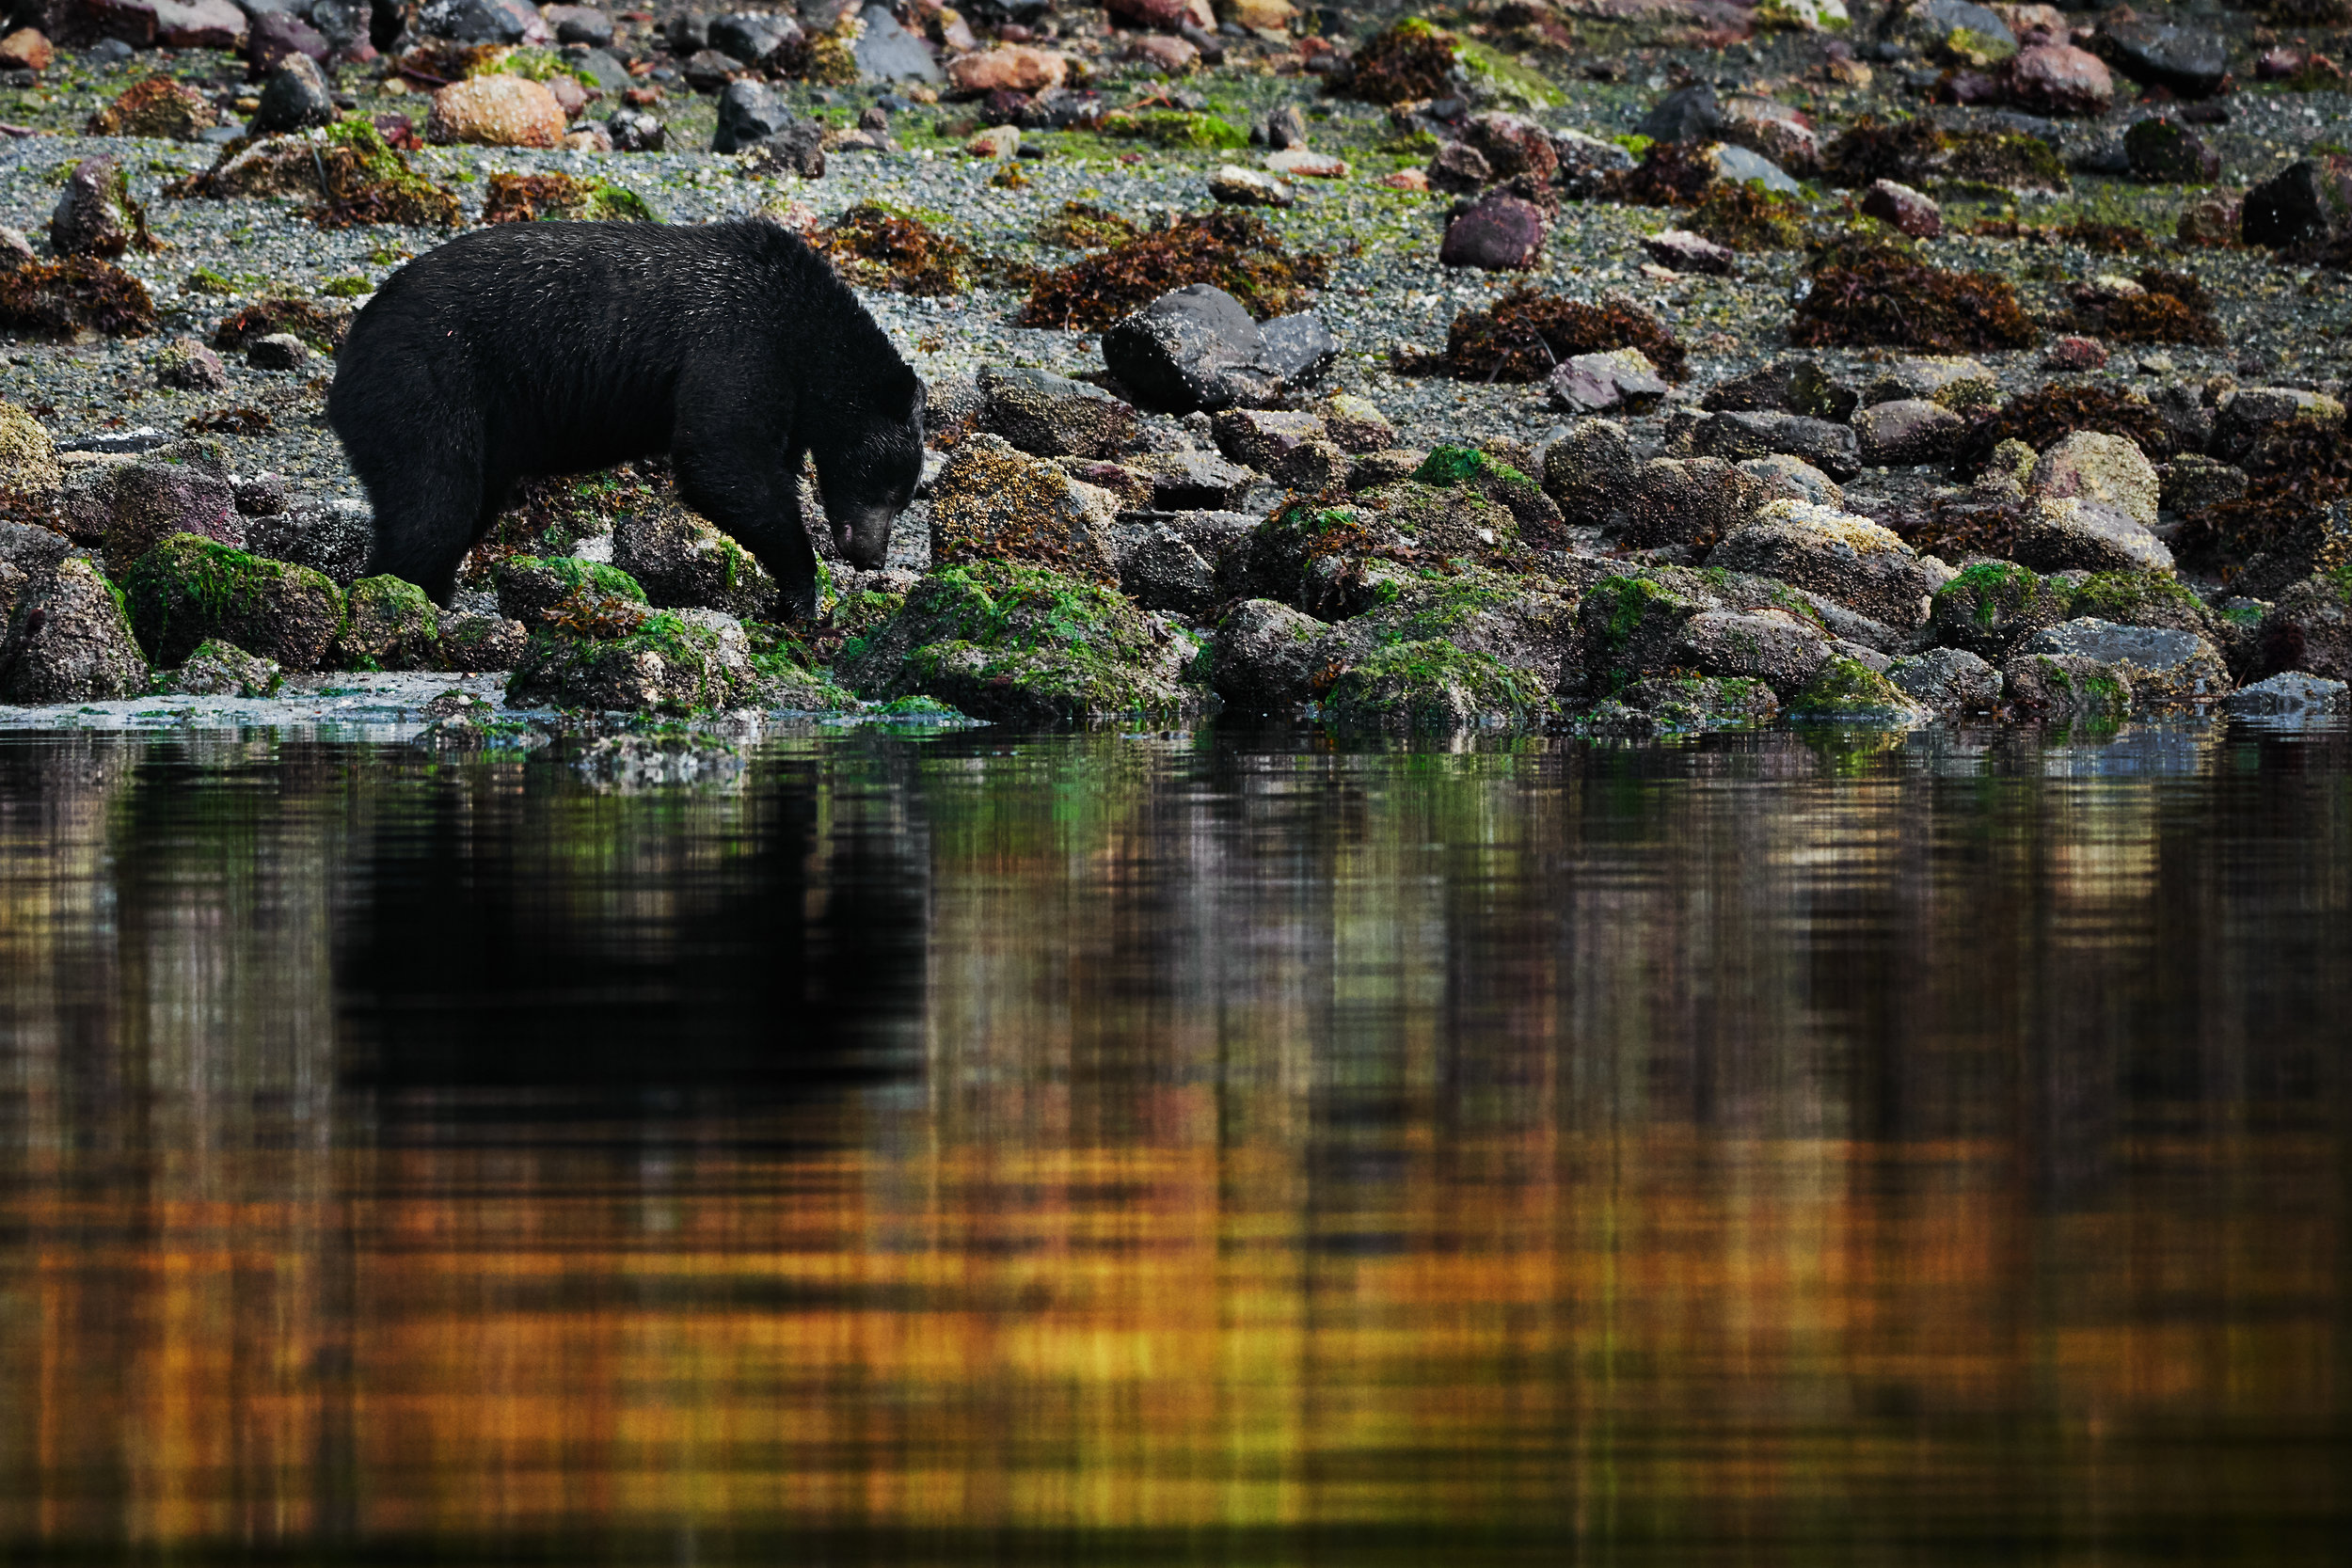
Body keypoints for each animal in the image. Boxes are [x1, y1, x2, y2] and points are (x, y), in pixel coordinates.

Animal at [325, 217, 927, 615]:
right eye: (891, 487)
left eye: (904, 495)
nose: (872, 555)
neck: (806, 332)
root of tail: (351, 345)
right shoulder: (739, 339)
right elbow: (722, 457)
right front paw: (801, 588)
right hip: (425, 383)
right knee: (432, 504)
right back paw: (404, 597)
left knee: (464, 505)